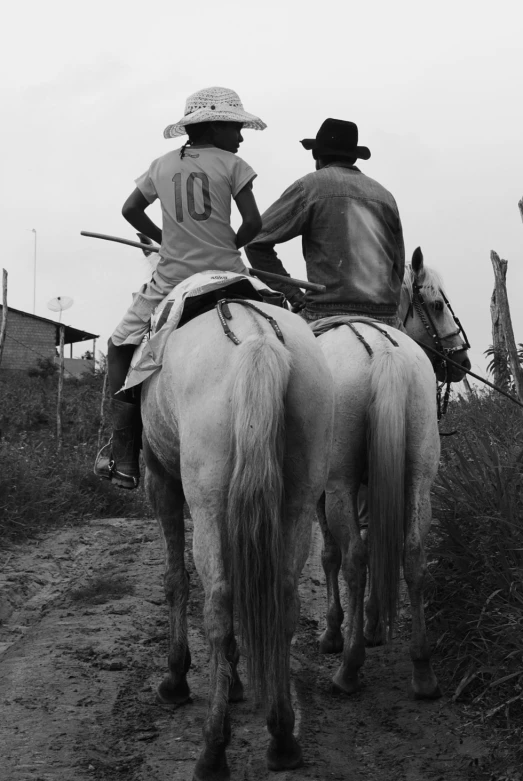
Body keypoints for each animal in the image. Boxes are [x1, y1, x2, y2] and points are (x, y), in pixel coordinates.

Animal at [141, 300, 334, 780]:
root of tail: (258, 338)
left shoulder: (160, 478)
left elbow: (175, 581)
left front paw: (177, 677)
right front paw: (234, 680)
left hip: (208, 501)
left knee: (218, 604)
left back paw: (213, 749)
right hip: (298, 501)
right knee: (284, 601)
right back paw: (282, 736)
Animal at [312, 248, 470, 696]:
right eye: (437, 305)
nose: (463, 360)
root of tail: (382, 351)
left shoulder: (328, 490)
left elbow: (332, 554)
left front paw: (337, 632)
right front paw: (371, 623)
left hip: (339, 485)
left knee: (354, 559)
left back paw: (348, 667)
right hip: (418, 483)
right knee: (413, 554)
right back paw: (422, 669)